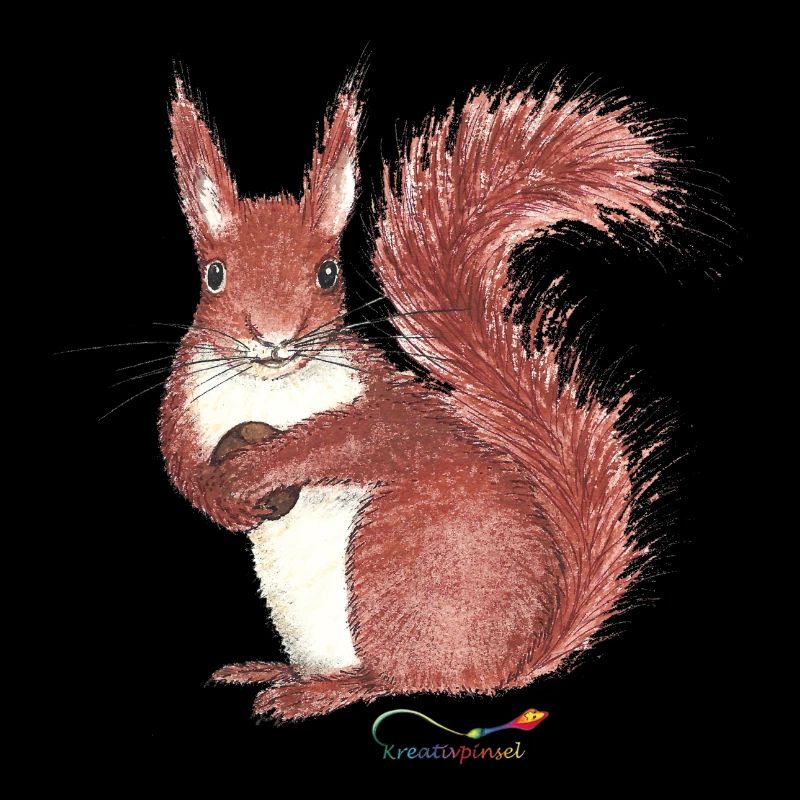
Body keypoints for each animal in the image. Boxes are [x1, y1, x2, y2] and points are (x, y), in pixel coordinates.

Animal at [159, 72, 674, 722]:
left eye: (328, 273)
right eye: (214, 275)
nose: (274, 339)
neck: (270, 387)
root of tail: (511, 664)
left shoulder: (381, 403)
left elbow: (354, 438)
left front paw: (262, 466)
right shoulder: (185, 399)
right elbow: (180, 462)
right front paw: (219, 498)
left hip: (391, 562)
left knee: (400, 678)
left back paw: (319, 692)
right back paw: (273, 670)